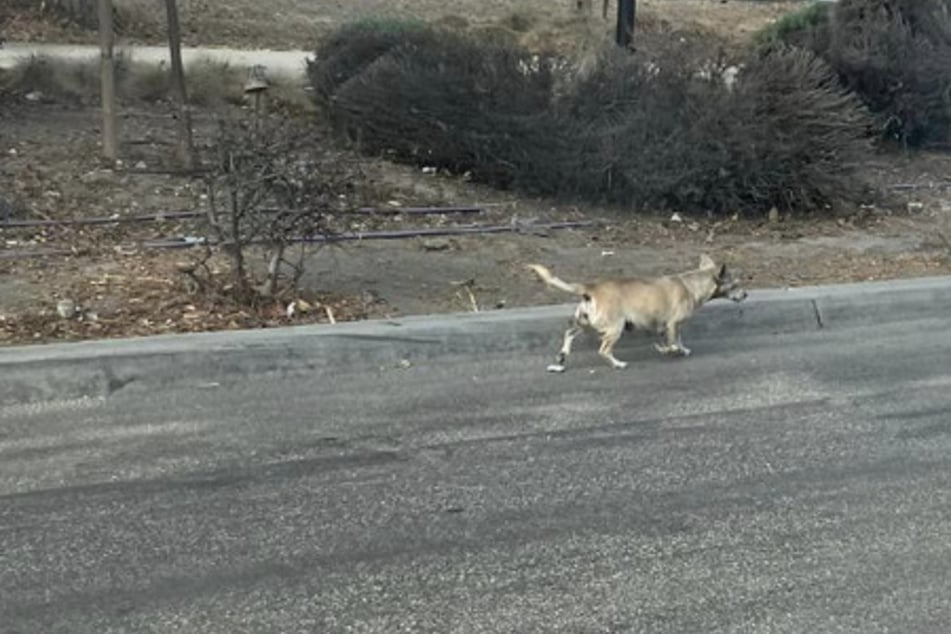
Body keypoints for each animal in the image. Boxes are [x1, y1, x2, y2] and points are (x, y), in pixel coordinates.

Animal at [528, 252, 744, 370]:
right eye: (736, 285)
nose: (746, 294)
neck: (691, 285)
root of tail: (590, 288)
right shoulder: (672, 324)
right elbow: (672, 344)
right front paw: (667, 349)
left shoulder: (674, 326)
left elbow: (679, 341)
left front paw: (682, 350)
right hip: (615, 328)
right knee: (603, 350)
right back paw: (617, 364)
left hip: (585, 322)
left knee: (569, 333)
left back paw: (562, 355)